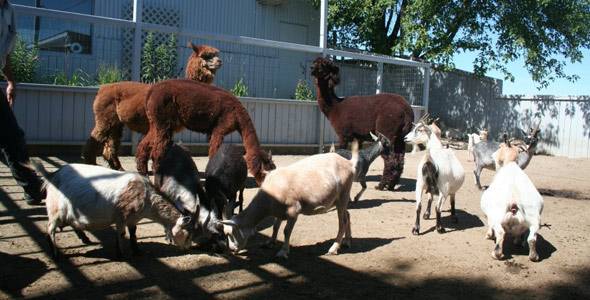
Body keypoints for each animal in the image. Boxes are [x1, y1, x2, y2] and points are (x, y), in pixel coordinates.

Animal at [31, 162, 197, 258]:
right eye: (188, 234)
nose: (187, 249)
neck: (146, 196)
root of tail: (52, 175)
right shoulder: (121, 216)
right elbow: (121, 233)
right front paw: (120, 252)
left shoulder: (132, 219)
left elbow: (133, 233)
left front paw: (137, 250)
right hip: (55, 210)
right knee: (50, 228)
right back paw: (54, 251)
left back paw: (84, 238)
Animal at [82, 44, 223, 171]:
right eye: (206, 56)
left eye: (216, 55)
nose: (220, 61)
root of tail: (102, 88)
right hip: (105, 118)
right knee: (95, 138)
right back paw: (91, 164)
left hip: (116, 122)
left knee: (111, 145)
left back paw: (118, 168)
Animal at [135, 78, 276, 185]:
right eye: (264, 174)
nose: (263, 185)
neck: (238, 116)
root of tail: (150, 92)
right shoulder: (220, 128)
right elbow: (214, 150)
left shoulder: (212, 132)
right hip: (164, 121)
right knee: (158, 149)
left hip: (156, 123)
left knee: (144, 145)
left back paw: (144, 174)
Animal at [219, 140, 360, 258]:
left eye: (230, 233)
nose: (232, 250)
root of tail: (350, 163)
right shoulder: (279, 211)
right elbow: (275, 227)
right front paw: (269, 243)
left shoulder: (293, 211)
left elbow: (286, 231)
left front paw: (283, 252)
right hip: (339, 200)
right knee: (347, 215)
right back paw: (347, 242)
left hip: (344, 195)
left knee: (342, 221)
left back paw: (333, 248)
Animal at [312, 57, 414, 191]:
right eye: (314, 62)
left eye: (323, 65)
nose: (311, 69)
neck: (335, 107)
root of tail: (407, 110)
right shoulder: (358, 137)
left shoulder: (343, 134)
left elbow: (341, 151)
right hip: (400, 137)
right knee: (399, 159)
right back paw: (391, 185)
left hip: (387, 130)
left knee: (390, 160)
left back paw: (381, 185)